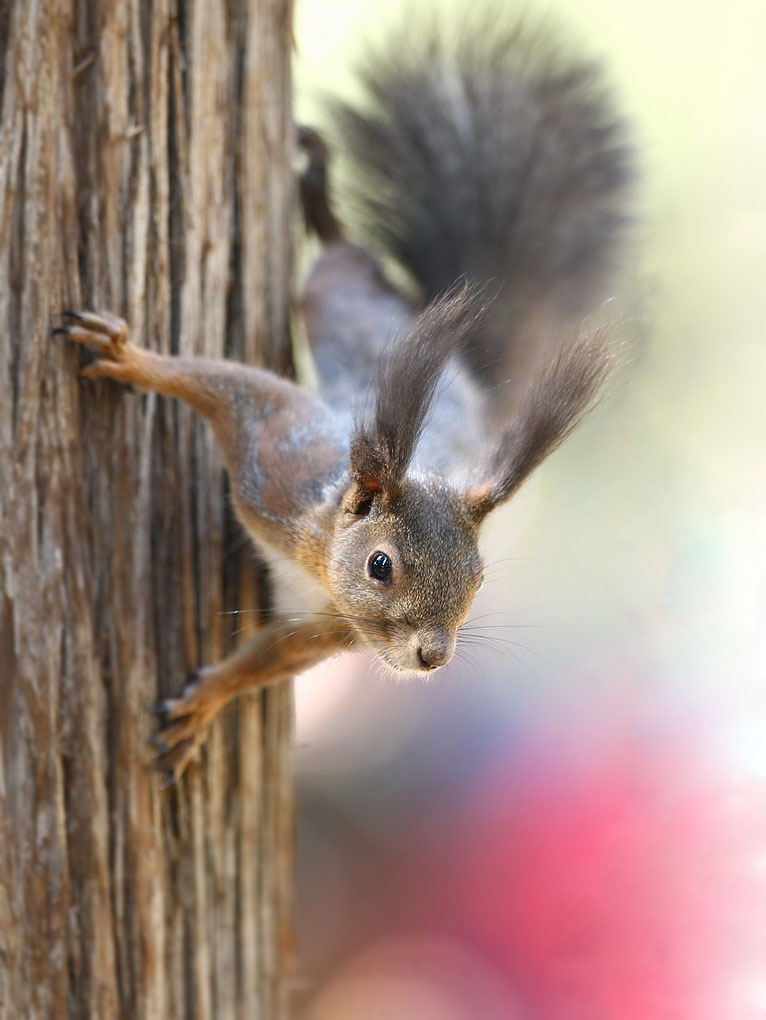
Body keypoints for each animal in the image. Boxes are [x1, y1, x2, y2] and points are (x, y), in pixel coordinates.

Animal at [58, 13, 636, 779]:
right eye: (380, 566)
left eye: (479, 577)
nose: (431, 657)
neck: (320, 554)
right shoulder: (274, 460)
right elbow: (227, 384)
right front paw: (130, 357)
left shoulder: (333, 627)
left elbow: (268, 659)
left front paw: (206, 703)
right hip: (338, 303)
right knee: (337, 261)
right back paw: (319, 200)